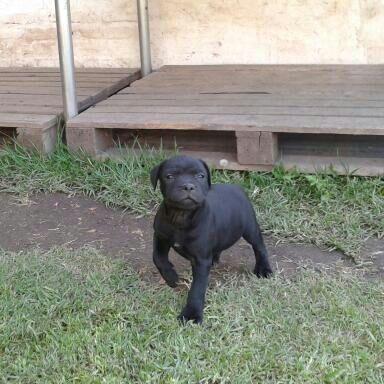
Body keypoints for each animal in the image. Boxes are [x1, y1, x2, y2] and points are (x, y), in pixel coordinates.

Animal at [151, 154, 272, 322]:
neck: (181, 216)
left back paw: (264, 269)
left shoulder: (200, 261)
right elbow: (157, 257)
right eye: (169, 176)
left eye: (200, 176)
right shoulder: (160, 236)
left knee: (259, 246)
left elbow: (197, 288)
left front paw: (192, 314)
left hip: (250, 228)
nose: (188, 186)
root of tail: (236, 187)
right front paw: (171, 277)